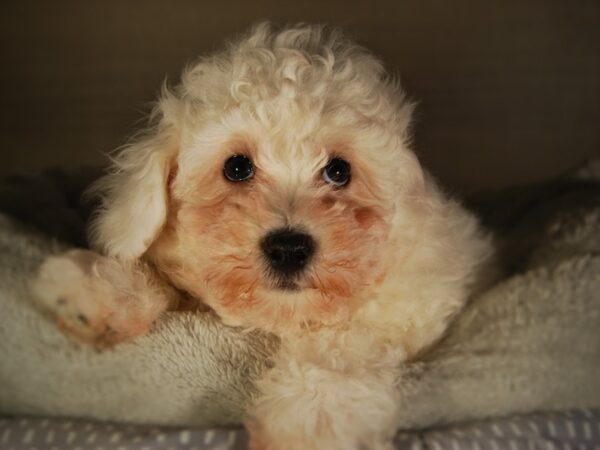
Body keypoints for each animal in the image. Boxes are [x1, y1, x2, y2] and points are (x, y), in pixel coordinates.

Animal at [30, 22, 492, 448]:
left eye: (339, 171)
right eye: (236, 167)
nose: (288, 248)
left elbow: (340, 342)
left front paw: (310, 428)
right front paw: (95, 293)